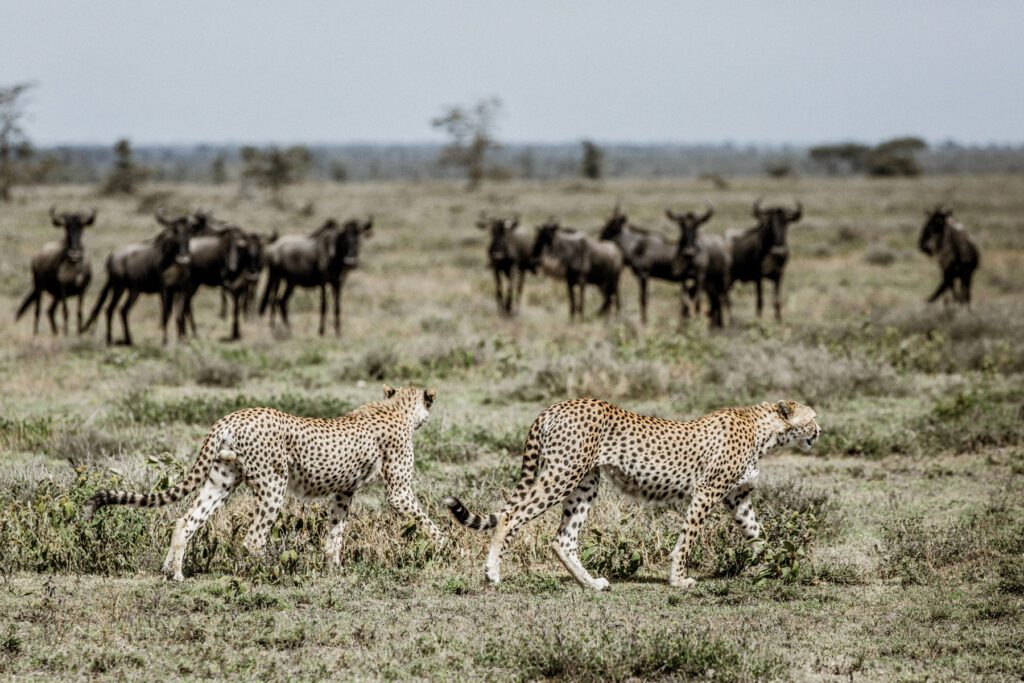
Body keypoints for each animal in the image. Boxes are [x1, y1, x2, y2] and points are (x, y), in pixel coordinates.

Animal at [83, 384, 444, 581]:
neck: (396, 408)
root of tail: (232, 416)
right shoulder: (399, 492)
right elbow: (429, 523)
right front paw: (444, 548)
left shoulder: (343, 491)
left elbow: (336, 533)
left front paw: (335, 569)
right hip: (273, 485)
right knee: (253, 538)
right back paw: (274, 571)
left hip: (221, 480)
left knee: (186, 520)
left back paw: (175, 573)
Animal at [444, 397, 820, 591]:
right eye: (812, 417)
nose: (820, 431)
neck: (764, 430)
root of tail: (557, 405)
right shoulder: (706, 491)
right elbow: (687, 539)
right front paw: (678, 580)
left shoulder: (736, 496)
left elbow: (759, 534)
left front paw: (773, 565)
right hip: (561, 475)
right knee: (510, 516)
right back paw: (492, 573)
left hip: (585, 483)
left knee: (563, 539)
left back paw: (592, 584)